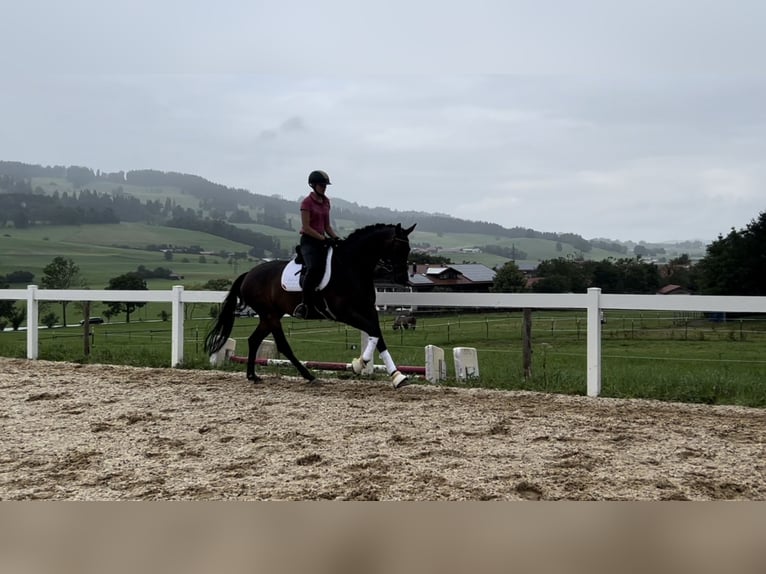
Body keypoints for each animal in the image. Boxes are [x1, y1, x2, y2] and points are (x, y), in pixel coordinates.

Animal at [204, 223, 416, 390]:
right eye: (398, 247)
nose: (403, 279)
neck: (351, 266)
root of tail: (249, 274)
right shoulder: (345, 312)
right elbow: (373, 331)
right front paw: (358, 364)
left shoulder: (368, 310)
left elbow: (377, 335)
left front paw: (398, 377)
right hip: (270, 315)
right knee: (282, 345)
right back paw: (309, 376)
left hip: (269, 316)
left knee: (254, 340)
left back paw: (252, 376)